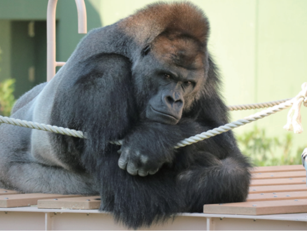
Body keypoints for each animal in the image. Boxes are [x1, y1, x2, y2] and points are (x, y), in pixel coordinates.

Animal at [0, 1, 251, 229]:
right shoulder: (103, 76)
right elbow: (135, 194)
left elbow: (225, 145)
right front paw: (154, 140)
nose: (175, 100)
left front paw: (154, 140)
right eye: (167, 76)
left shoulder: (207, 73)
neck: (130, 51)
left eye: (187, 83)